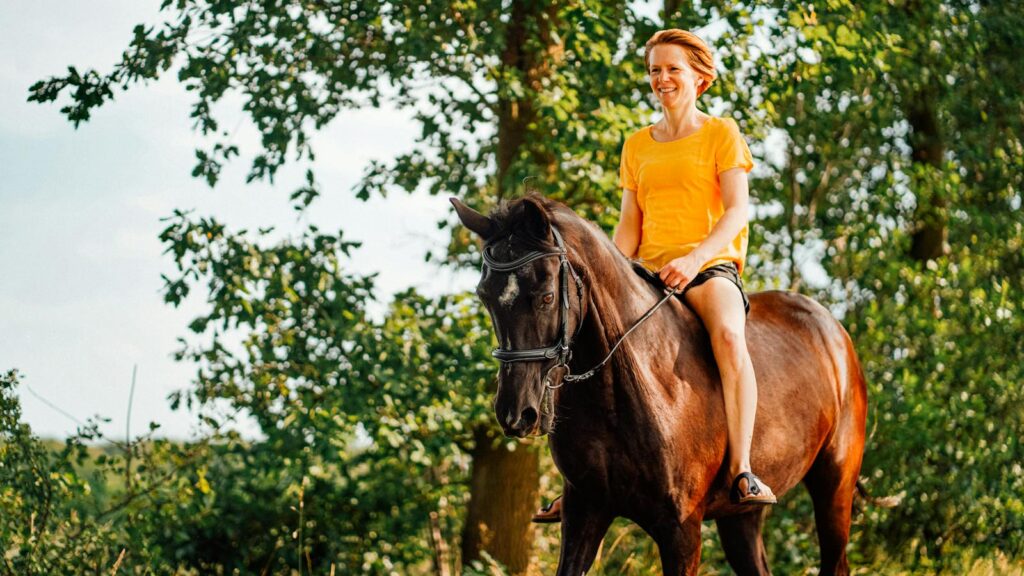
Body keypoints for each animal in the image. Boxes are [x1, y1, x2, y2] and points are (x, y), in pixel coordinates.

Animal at [451, 194, 867, 576]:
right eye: (485, 297)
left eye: (546, 296)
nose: (516, 414)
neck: (623, 391)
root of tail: (833, 331)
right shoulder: (584, 511)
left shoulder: (681, 530)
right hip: (740, 516)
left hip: (835, 488)